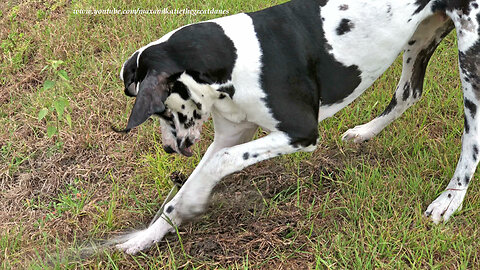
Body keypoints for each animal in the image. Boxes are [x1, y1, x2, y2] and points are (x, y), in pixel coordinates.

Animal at [114, 0, 480, 254]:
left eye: (160, 111)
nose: (167, 148)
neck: (232, 58)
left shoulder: (299, 132)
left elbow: (217, 164)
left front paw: (193, 203)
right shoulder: (233, 135)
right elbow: (191, 182)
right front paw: (149, 235)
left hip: (470, 57)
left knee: (472, 138)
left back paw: (451, 197)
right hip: (421, 36)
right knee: (407, 94)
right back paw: (365, 132)